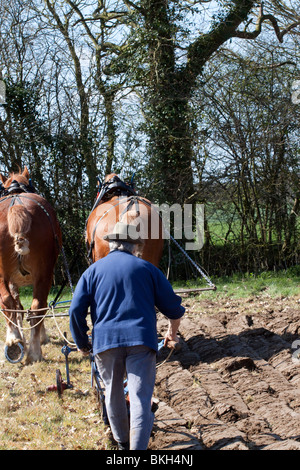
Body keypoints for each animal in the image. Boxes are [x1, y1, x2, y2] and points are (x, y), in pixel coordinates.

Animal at [0, 169, 61, 364]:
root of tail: (16, 207)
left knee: (21, 305)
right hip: (42, 274)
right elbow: (19, 307)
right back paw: (25, 346)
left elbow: (17, 307)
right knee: (33, 306)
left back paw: (23, 345)